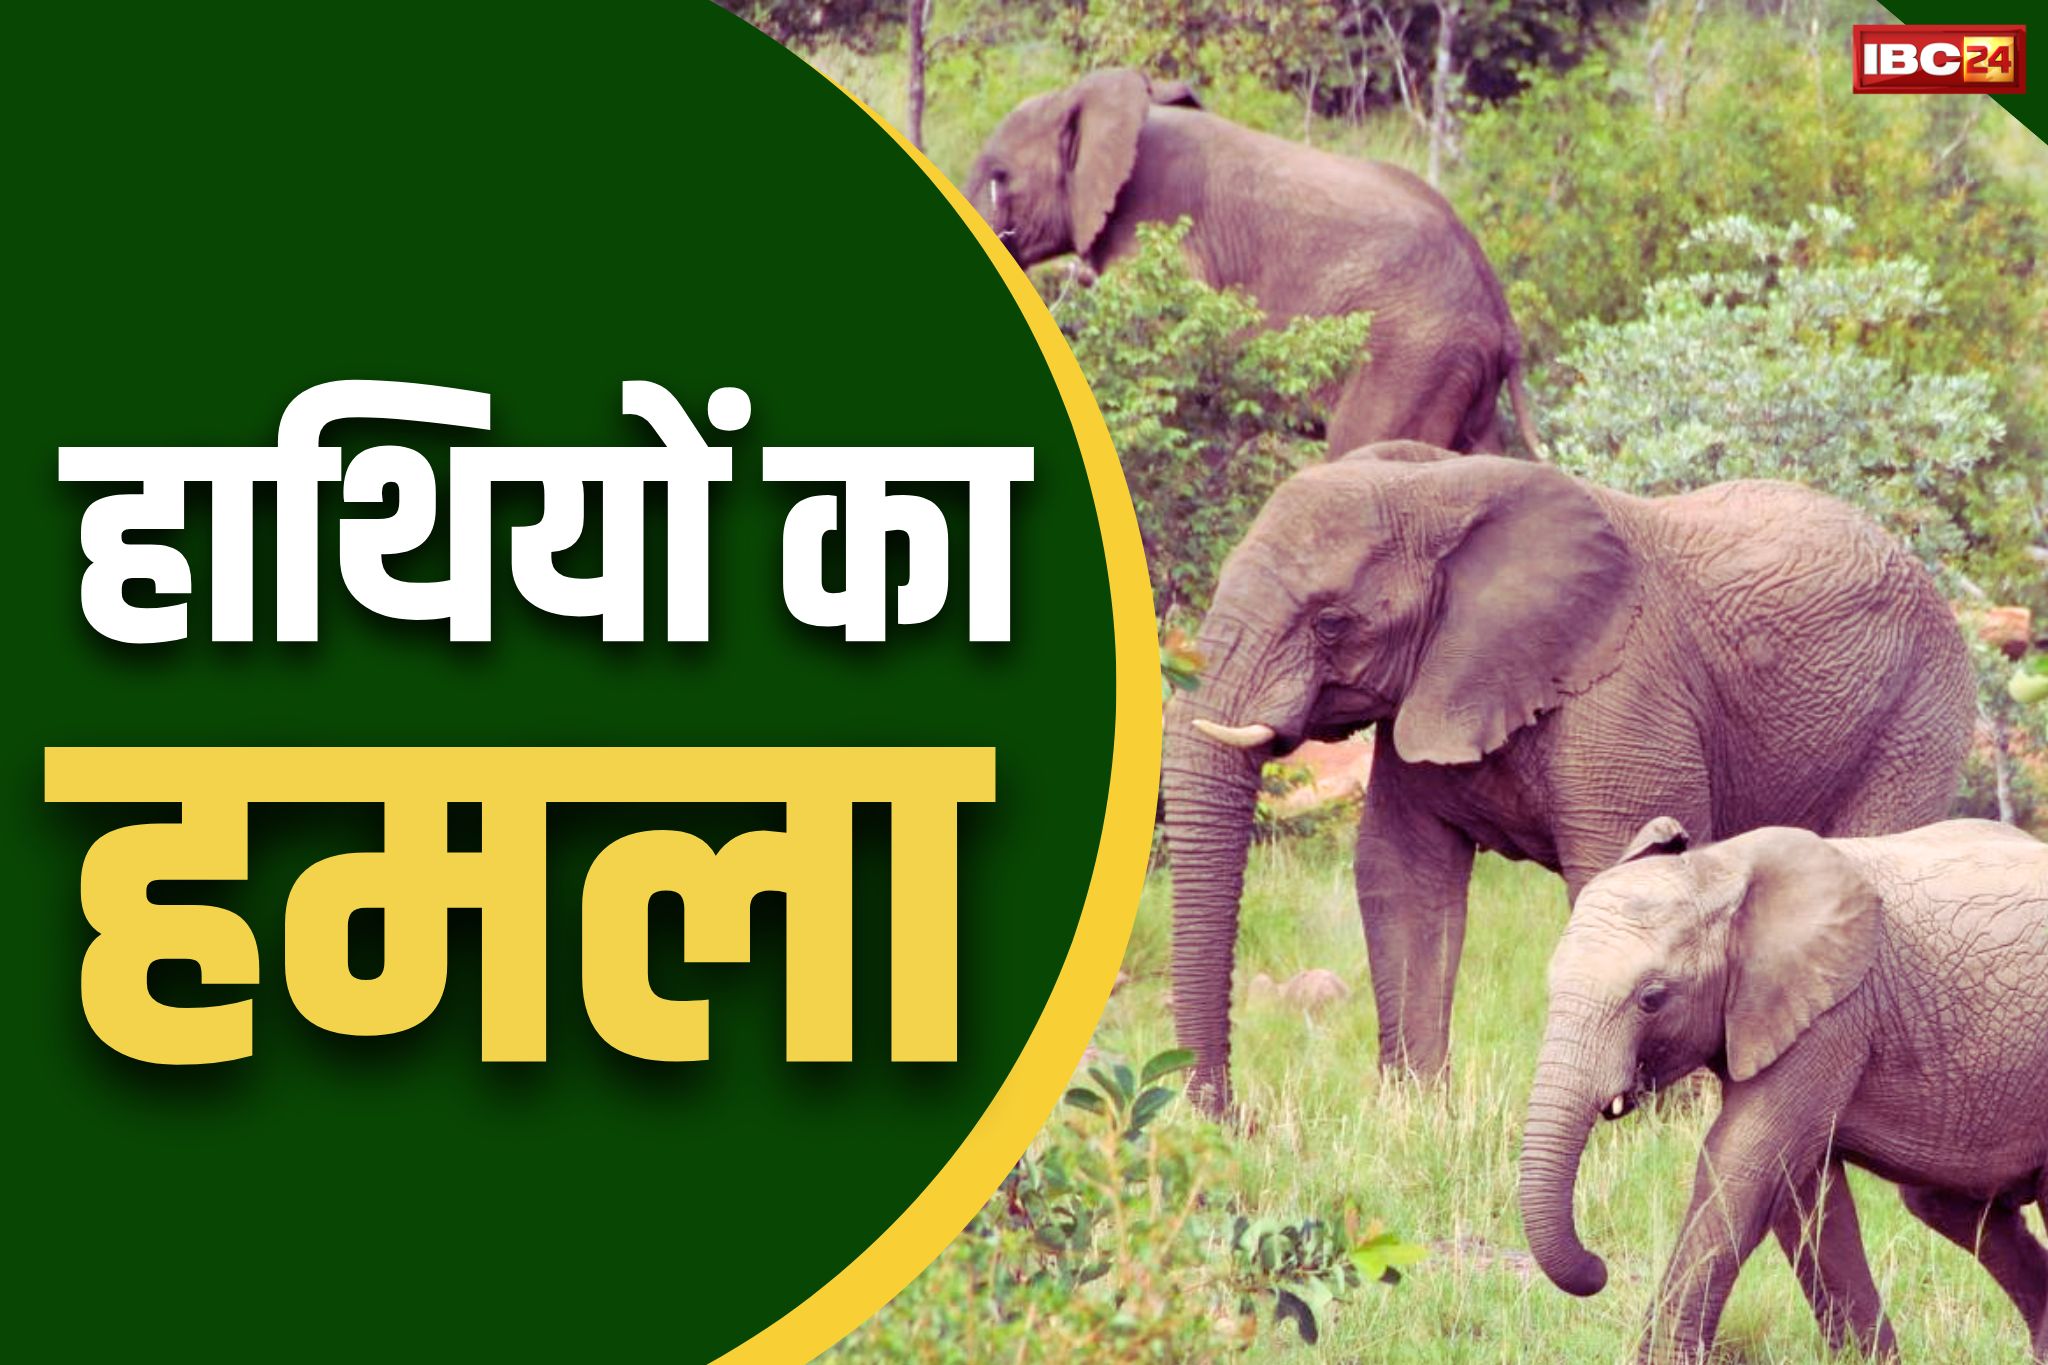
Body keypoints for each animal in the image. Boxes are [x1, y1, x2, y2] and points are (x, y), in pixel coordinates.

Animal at [1160, 443, 1974, 1113]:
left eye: (1331, 621)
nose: (1230, 1115)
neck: (1440, 486)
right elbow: (1403, 873)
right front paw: (1415, 1111)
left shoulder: (1626, 699)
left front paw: (1651, 1126)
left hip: (1918, 713)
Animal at [1518, 816, 2048, 1363]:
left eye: (1652, 998)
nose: (1597, 1268)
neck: (1717, 870)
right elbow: (1803, 1193)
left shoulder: (1834, 1013)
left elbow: (1743, 1165)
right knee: (1944, 1204)